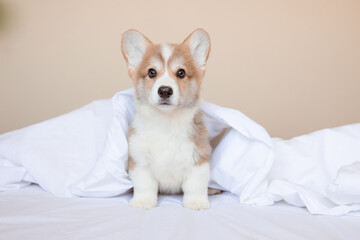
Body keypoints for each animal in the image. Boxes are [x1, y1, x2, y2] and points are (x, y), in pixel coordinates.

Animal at [122, 28, 214, 210]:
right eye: (151, 72)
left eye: (181, 73)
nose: (165, 91)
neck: (166, 121)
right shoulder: (140, 161)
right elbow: (144, 185)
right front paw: (143, 201)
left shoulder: (198, 159)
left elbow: (195, 185)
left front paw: (196, 202)